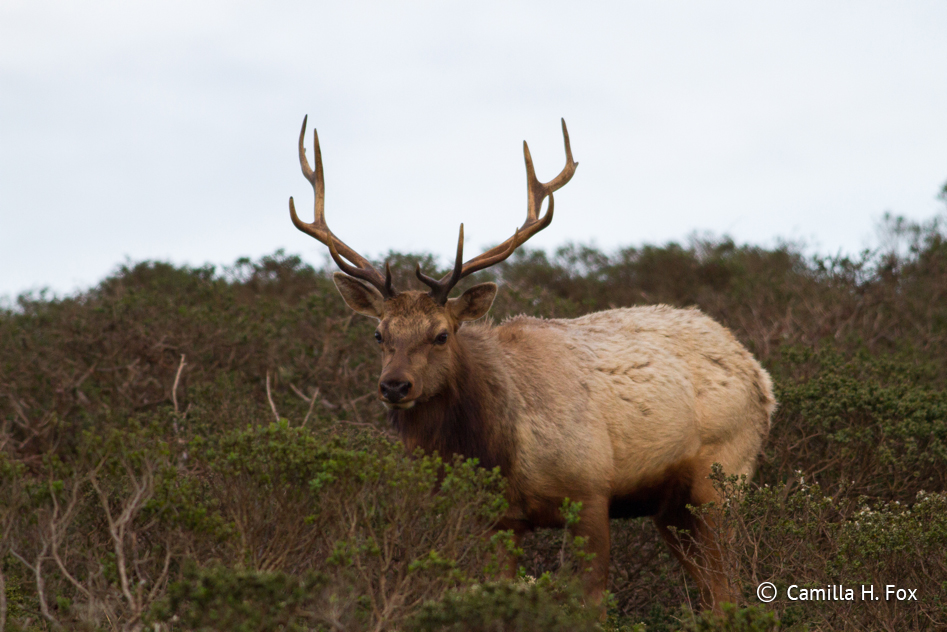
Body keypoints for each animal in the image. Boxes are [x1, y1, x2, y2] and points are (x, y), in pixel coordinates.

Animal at [286, 117, 776, 612]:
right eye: (379, 334)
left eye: (441, 334)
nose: (394, 386)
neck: (498, 452)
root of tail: (760, 373)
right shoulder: (495, 519)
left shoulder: (591, 489)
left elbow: (592, 599)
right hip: (670, 506)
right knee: (713, 590)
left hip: (724, 475)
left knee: (730, 586)